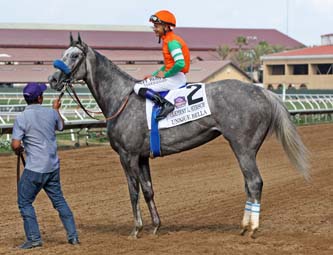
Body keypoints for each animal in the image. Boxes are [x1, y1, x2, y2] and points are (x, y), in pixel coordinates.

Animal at [48, 34, 308, 238]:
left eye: (74, 55)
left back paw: (250, 228)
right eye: (63, 53)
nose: (52, 80)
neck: (121, 99)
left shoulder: (127, 155)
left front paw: (136, 229)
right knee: (249, 183)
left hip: (243, 147)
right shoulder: (142, 156)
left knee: (254, 182)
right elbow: (148, 189)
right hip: (246, 148)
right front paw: (155, 226)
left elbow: (133, 191)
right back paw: (246, 225)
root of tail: (262, 91)